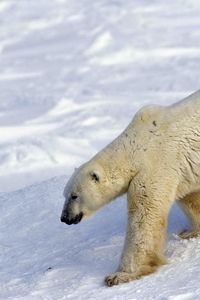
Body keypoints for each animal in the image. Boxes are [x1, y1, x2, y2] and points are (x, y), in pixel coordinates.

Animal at [59, 90, 200, 288]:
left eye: (74, 196)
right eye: (65, 195)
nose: (64, 218)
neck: (136, 146)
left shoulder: (155, 166)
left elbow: (144, 217)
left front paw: (119, 275)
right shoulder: (183, 170)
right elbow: (190, 197)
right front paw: (190, 232)